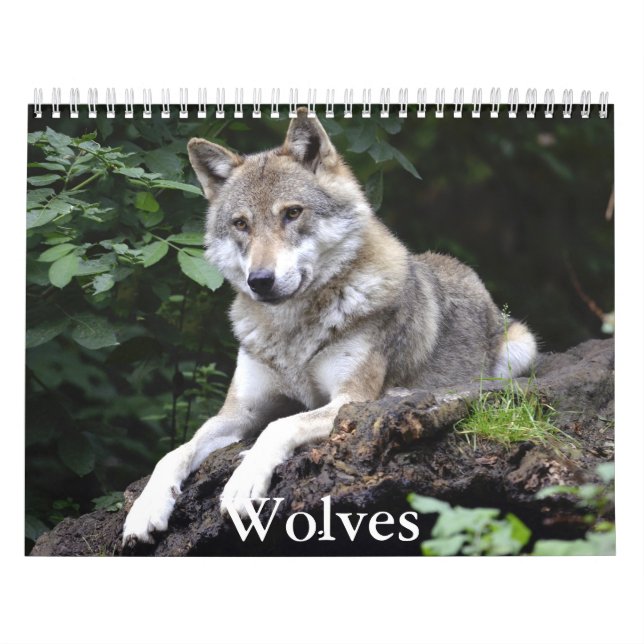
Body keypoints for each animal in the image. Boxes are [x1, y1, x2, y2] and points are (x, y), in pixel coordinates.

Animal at [122, 107, 537, 546]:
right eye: (240, 224)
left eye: (292, 213)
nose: (260, 280)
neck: (292, 333)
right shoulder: (239, 411)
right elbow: (175, 451)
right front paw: (145, 509)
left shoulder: (347, 400)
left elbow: (279, 427)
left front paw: (242, 482)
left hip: (520, 347)